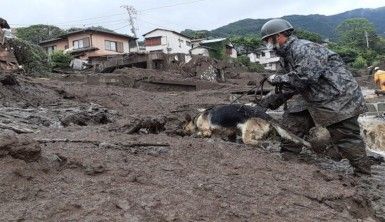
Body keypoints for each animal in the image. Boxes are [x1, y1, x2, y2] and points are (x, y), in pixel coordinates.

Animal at [182, 103, 310, 147]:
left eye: (184, 128)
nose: (180, 133)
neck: (197, 118)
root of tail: (266, 115)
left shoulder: (206, 130)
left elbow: (203, 133)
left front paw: (196, 134)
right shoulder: (231, 130)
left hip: (247, 128)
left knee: (250, 141)